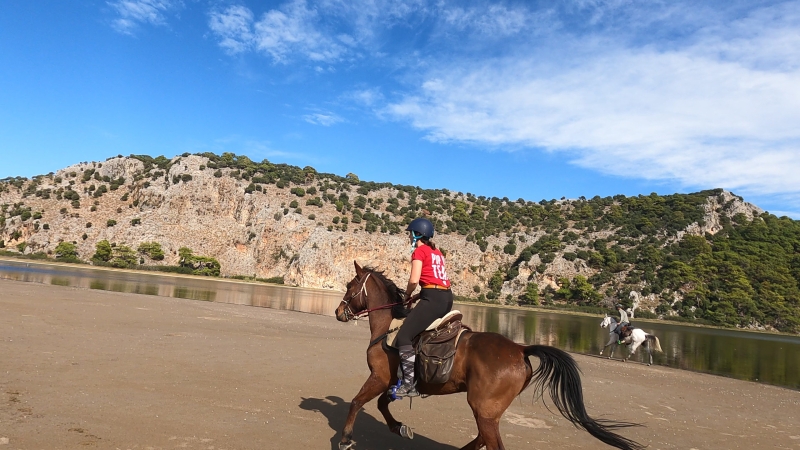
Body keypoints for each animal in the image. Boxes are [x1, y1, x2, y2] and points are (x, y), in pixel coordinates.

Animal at [332, 262, 644, 448]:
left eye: (349, 287)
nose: (338, 312)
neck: (386, 327)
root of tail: (520, 348)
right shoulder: (390, 382)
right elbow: (382, 405)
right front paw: (399, 427)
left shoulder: (379, 376)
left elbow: (357, 402)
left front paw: (346, 438)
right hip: (488, 411)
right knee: (482, 438)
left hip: (483, 408)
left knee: (489, 440)